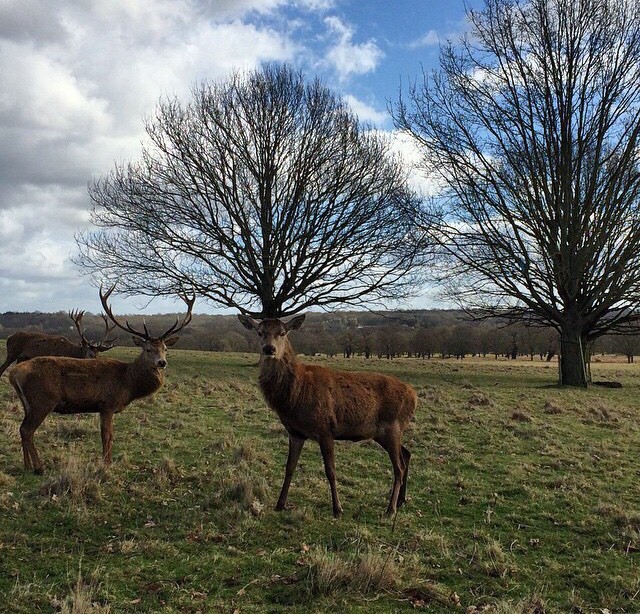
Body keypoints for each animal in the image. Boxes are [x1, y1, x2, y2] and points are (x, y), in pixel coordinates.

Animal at [8, 288, 194, 476]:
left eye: (165, 349)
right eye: (148, 349)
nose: (162, 362)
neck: (128, 383)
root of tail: (14, 373)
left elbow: (109, 435)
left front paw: (107, 462)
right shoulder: (107, 404)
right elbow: (107, 435)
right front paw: (107, 464)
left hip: (28, 403)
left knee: (22, 428)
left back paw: (27, 465)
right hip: (43, 400)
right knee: (27, 430)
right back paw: (39, 467)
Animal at [238, 316, 418, 516]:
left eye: (282, 333)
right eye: (259, 332)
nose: (269, 349)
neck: (296, 395)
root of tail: (414, 396)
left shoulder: (325, 428)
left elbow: (330, 470)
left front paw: (338, 508)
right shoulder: (295, 432)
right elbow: (289, 467)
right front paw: (280, 504)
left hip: (392, 426)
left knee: (399, 467)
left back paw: (390, 509)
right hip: (386, 433)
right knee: (406, 454)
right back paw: (401, 501)